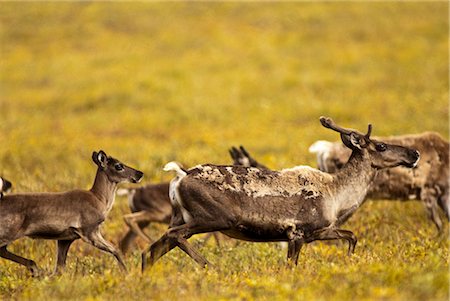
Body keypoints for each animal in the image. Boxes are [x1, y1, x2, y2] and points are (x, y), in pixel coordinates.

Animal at [0, 149, 143, 276]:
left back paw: (35, 269)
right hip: (8, 232)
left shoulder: (65, 239)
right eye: (118, 165)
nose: (140, 174)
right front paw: (127, 274)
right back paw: (35, 269)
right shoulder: (90, 231)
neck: (99, 199)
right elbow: (116, 249)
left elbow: (59, 269)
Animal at [118, 145, 268, 253]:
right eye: (254, 163)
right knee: (129, 220)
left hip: (146, 220)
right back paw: (149, 241)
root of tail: (133, 191)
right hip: (155, 215)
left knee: (124, 240)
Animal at [142, 116, 420, 268]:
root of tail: (180, 176)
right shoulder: (297, 232)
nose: (414, 153)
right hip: (215, 217)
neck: (338, 196)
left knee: (151, 250)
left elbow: (352, 236)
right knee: (175, 236)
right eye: (381, 146)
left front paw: (350, 259)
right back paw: (208, 265)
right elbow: (291, 267)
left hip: (180, 215)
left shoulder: (319, 231)